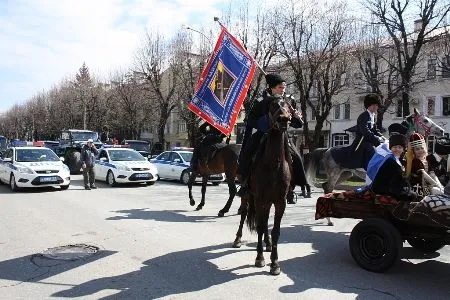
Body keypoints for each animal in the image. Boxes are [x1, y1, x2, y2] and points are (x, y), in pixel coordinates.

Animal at [241, 96, 290, 276]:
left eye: (289, 106)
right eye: (273, 106)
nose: (283, 119)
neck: (274, 165)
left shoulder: (280, 202)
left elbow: (275, 230)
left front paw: (274, 263)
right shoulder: (260, 199)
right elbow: (261, 227)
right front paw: (259, 258)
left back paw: (268, 244)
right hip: (248, 197)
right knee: (244, 214)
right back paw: (237, 239)